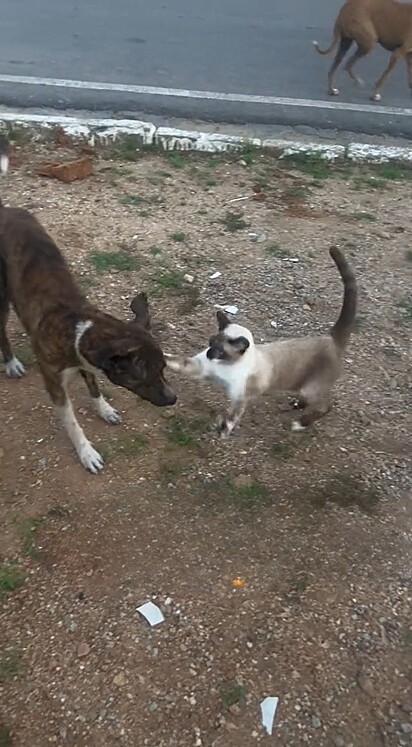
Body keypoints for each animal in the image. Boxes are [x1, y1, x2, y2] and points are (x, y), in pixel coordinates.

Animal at [0, 203, 175, 474]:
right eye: (145, 375)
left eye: (164, 368)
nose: (173, 398)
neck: (77, 327)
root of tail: (6, 208)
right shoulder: (55, 385)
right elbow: (72, 423)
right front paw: (86, 452)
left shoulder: (88, 363)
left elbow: (94, 387)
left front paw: (104, 410)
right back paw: (11, 363)